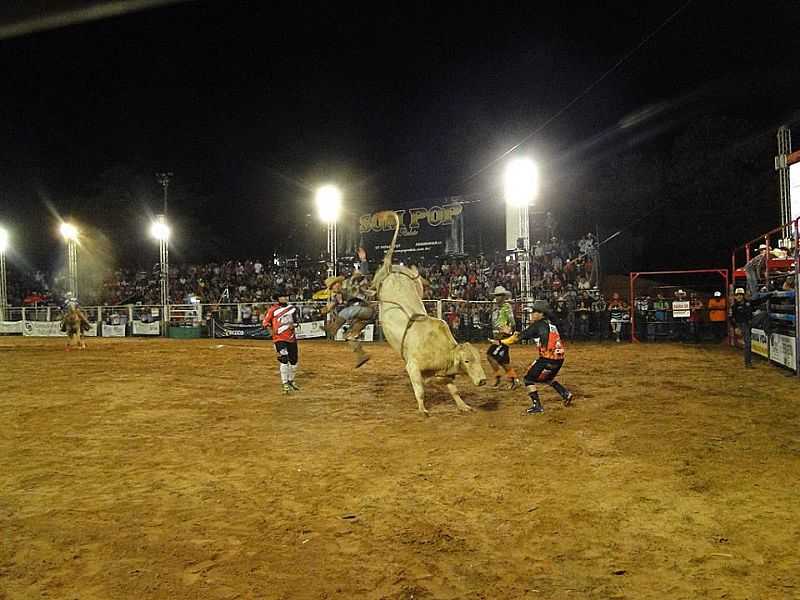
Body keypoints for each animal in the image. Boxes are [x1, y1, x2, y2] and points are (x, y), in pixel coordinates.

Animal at [368, 213, 488, 414]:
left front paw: (463, 405)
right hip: (379, 282)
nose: (483, 380)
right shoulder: (413, 366)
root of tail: (392, 268)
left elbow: (453, 389)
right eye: (466, 361)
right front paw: (422, 408)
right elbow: (420, 389)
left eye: (479, 359)